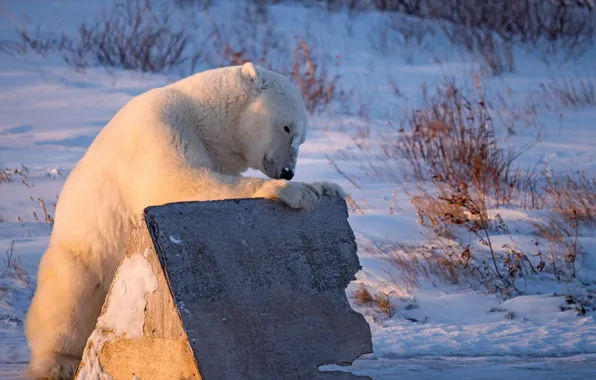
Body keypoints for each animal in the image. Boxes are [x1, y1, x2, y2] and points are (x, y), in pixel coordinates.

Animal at [24, 60, 344, 378]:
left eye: (302, 138)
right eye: (286, 127)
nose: (287, 172)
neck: (203, 116)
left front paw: (326, 187)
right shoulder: (161, 126)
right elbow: (179, 181)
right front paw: (297, 191)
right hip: (84, 253)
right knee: (67, 299)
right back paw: (56, 363)